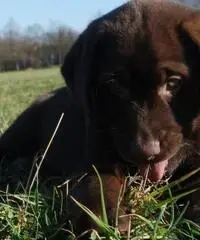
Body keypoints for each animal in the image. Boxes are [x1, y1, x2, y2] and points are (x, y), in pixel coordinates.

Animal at [1, 0, 200, 236]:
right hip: (21, 131)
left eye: (173, 82)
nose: (145, 152)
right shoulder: (96, 156)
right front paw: (102, 218)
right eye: (115, 85)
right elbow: (95, 183)